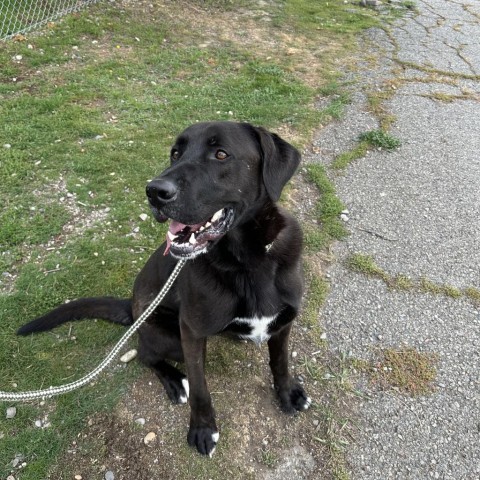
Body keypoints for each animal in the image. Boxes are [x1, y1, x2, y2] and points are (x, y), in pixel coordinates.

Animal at [17, 121, 312, 458]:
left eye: (221, 154)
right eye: (175, 153)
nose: (154, 192)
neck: (248, 262)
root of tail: (132, 305)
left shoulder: (283, 321)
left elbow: (280, 361)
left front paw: (287, 393)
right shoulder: (192, 332)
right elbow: (200, 388)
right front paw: (203, 429)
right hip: (171, 337)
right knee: (145, 354)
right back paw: (172, 380)